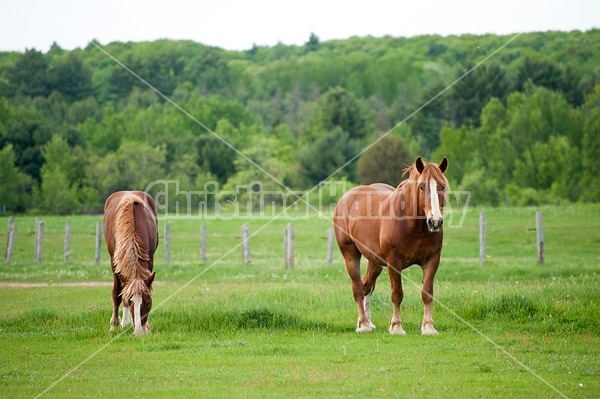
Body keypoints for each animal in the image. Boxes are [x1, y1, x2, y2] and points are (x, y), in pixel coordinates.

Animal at [103, 192, 158, 336]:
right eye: (130, 302)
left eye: (148, 302)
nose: (139, 332)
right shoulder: (114, 262)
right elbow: (117, 293)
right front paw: (114, 324)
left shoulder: (150, 258)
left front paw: (147, 327)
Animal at [332, 158, 450, 336]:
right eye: (422, 186)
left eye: (442, 186)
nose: (435, 222)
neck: (412, 225)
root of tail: (346, 197)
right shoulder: (394, 263)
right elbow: (397, 294)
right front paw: (396, 326)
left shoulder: (432, 260)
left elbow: (427, 293)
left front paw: (428, 327)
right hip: (350, 254)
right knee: (358, 288)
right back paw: (363, 324)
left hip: (375, 261)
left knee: (367, 286)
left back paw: (367, 323)